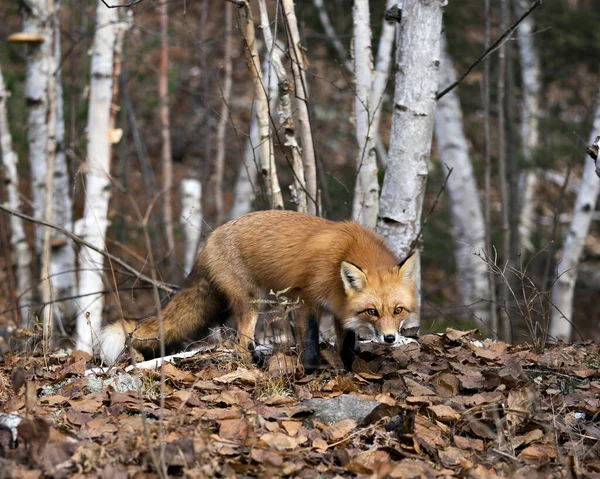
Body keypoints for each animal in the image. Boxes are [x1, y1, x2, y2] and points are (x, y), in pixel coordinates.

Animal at [99, 210, 418, 372]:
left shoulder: (341, 309)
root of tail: (209, 240)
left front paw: (350, 371)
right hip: (252, 303)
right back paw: (255, 366)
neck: (345, 253)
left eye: (398, 310)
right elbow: (310, 343)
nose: (390, 339)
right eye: (372, 311)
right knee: (241, 343)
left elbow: (347, 346)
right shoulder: (305, 299)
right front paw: (312, 371)